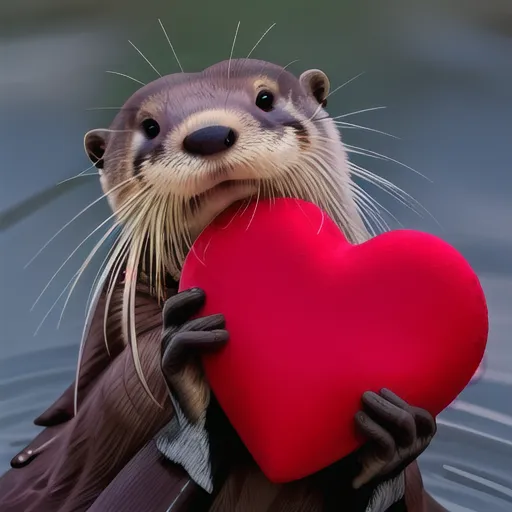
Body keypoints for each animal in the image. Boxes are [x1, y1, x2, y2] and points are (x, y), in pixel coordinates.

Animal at [0, 58, 446, 510]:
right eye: (149, 126)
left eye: (264, 98)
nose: (208, 134)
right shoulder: (113, 408)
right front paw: (189, 356)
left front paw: (392, 437)